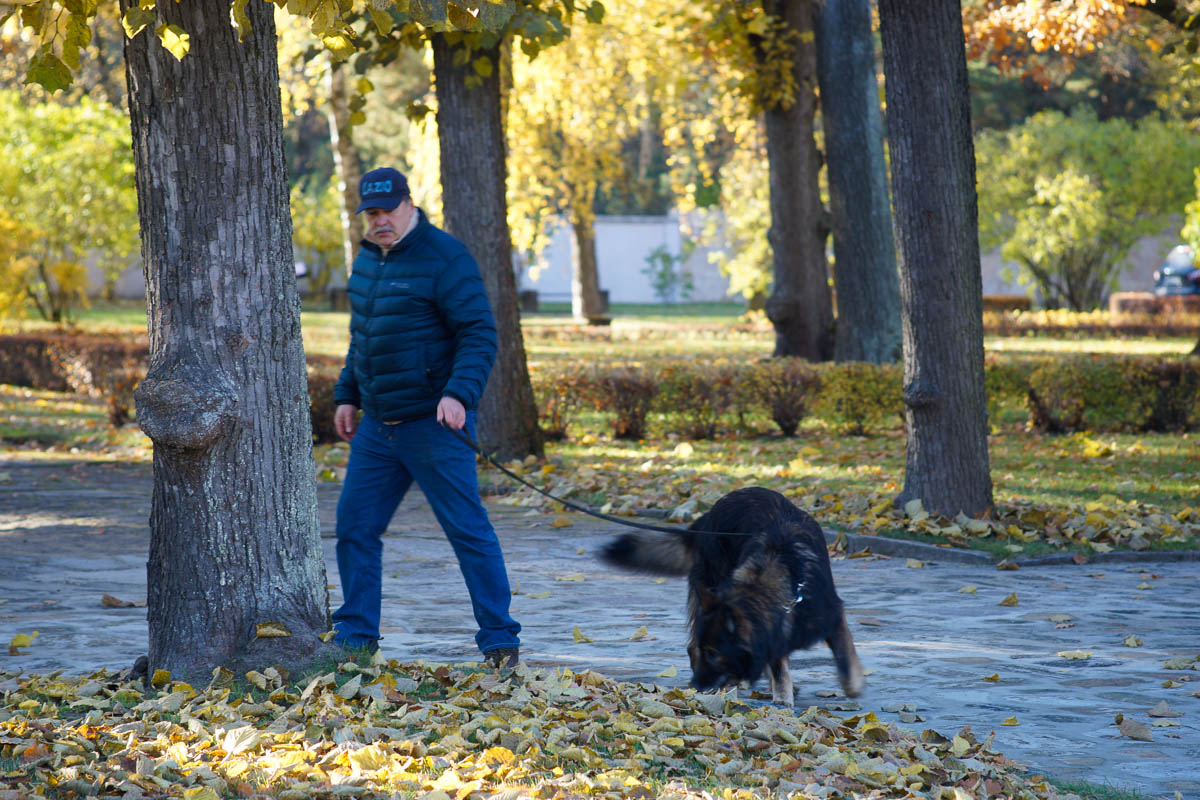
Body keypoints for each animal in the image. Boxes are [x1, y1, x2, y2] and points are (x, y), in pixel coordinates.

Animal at [600, 484, 864, 705]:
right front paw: (782, 698)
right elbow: (778, 666)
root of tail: (707, 516)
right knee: (691, 643)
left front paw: (852, 686)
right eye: (707, 653)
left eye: (714, 654)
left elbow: (844, 657)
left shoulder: (831, 616)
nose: (695, 687)